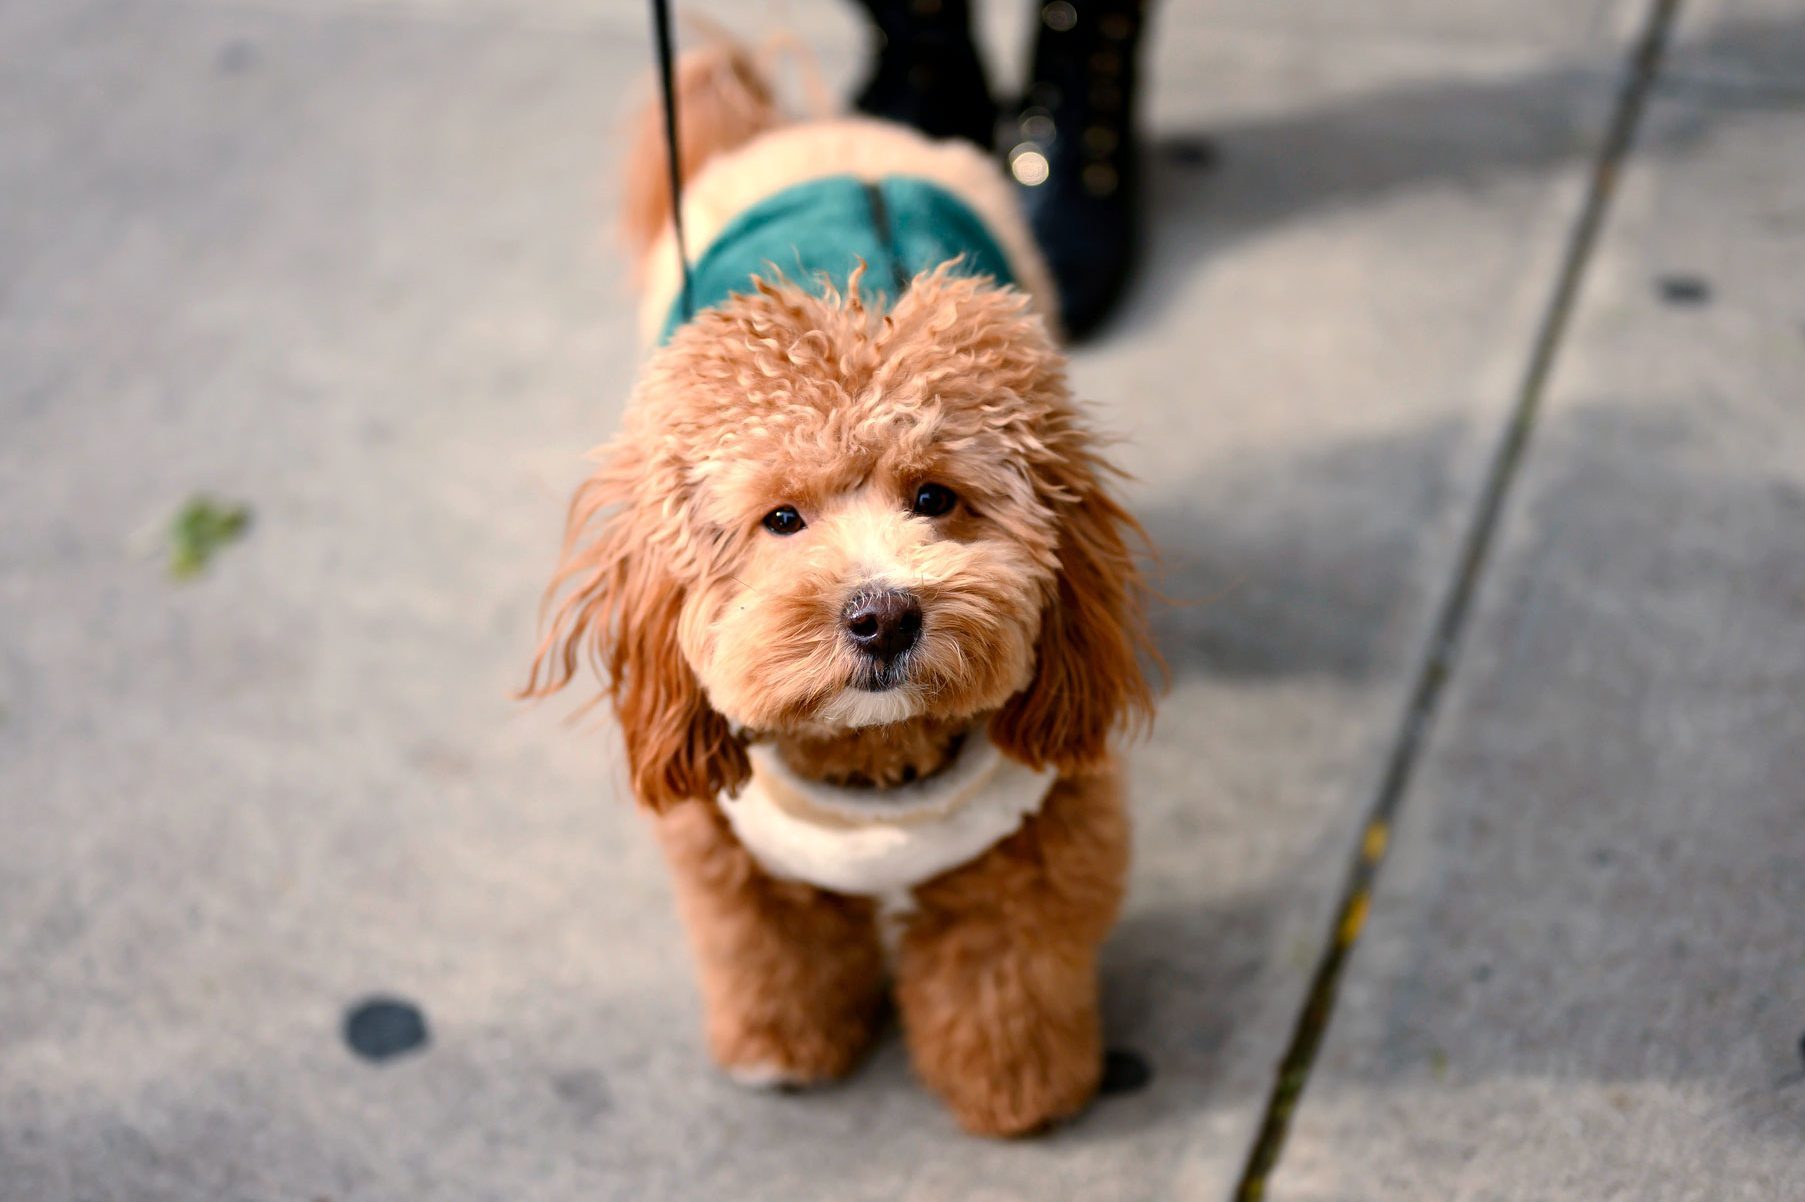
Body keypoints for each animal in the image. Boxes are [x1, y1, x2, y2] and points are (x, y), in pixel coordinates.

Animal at [527, 44, 1155, 1133]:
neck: (874, 770)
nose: (882, 614)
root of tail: (811, 133)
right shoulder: (732, 850)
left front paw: (1016, 1084)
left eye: (935, 497)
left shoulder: (1035, 840)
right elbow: (773, 946)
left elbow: (1007, 967)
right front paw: (781, 1046)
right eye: (781, 518)